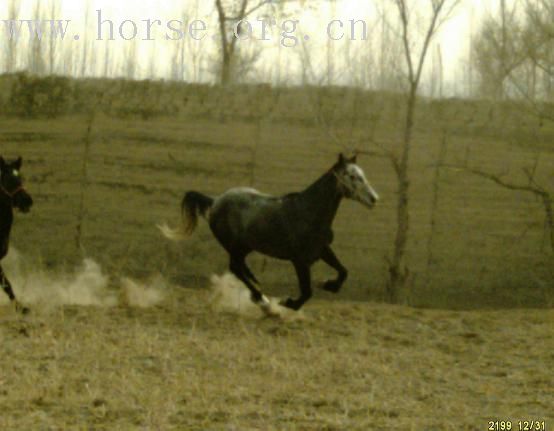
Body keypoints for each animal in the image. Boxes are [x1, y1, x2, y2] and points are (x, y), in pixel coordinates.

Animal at [157, 154, 378, 312]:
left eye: (363, 174)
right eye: (352, 176)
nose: (373, 198)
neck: (308, 212)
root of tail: (215, 201)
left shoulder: (322, 250)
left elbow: (343, 271)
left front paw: (329, 285)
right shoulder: (299, 260)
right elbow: (306, 292)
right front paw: (287, 303)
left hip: (245, 247)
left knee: (241, 268)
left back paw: (259, 291)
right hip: (234, 246)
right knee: (236, 267)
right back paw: (262, 299)